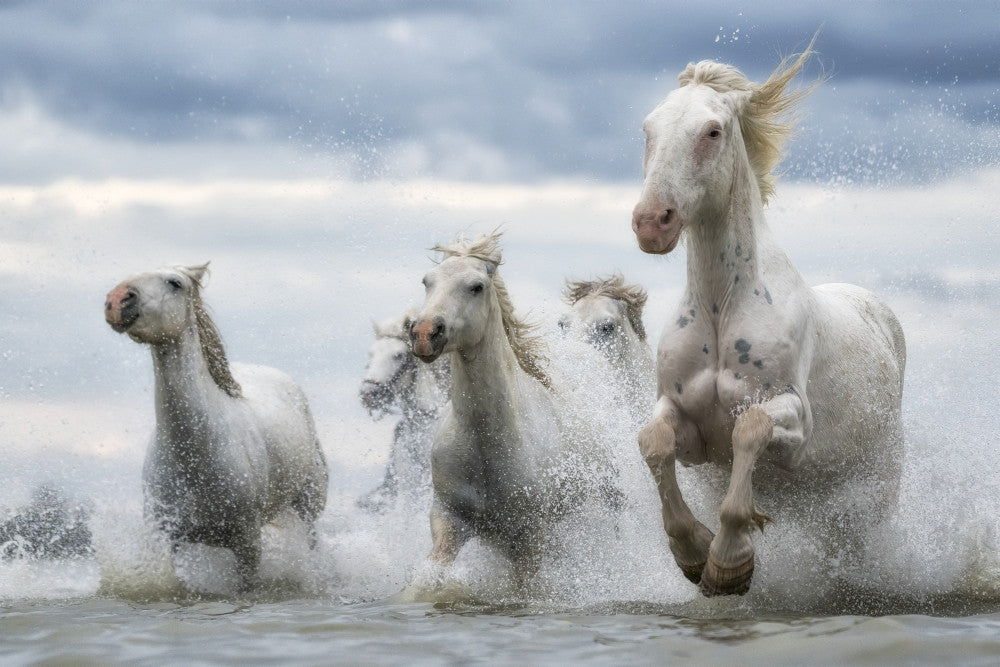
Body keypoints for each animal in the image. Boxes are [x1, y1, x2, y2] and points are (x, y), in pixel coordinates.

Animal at [104, 263, 328, 590]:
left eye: (175, 283)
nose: (117, 300)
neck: (195, 453)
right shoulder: (171, 539)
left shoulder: (247, 542)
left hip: (308, 508)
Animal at [408, 232, 615, 586]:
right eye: (427, 281)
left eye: (476, 286)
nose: (424, 334)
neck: (485, 438)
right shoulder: (447, 519)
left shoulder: (530, 538)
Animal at [630, 41, 906, 596]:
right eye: (648, 129)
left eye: (712, 131)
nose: (652, 222)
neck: (723, 306)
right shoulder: (687, 428)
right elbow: (654, 443)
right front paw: (693, 553)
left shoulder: (794, 426)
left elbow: (750, 428)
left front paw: (729, 563)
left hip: (873, 488)